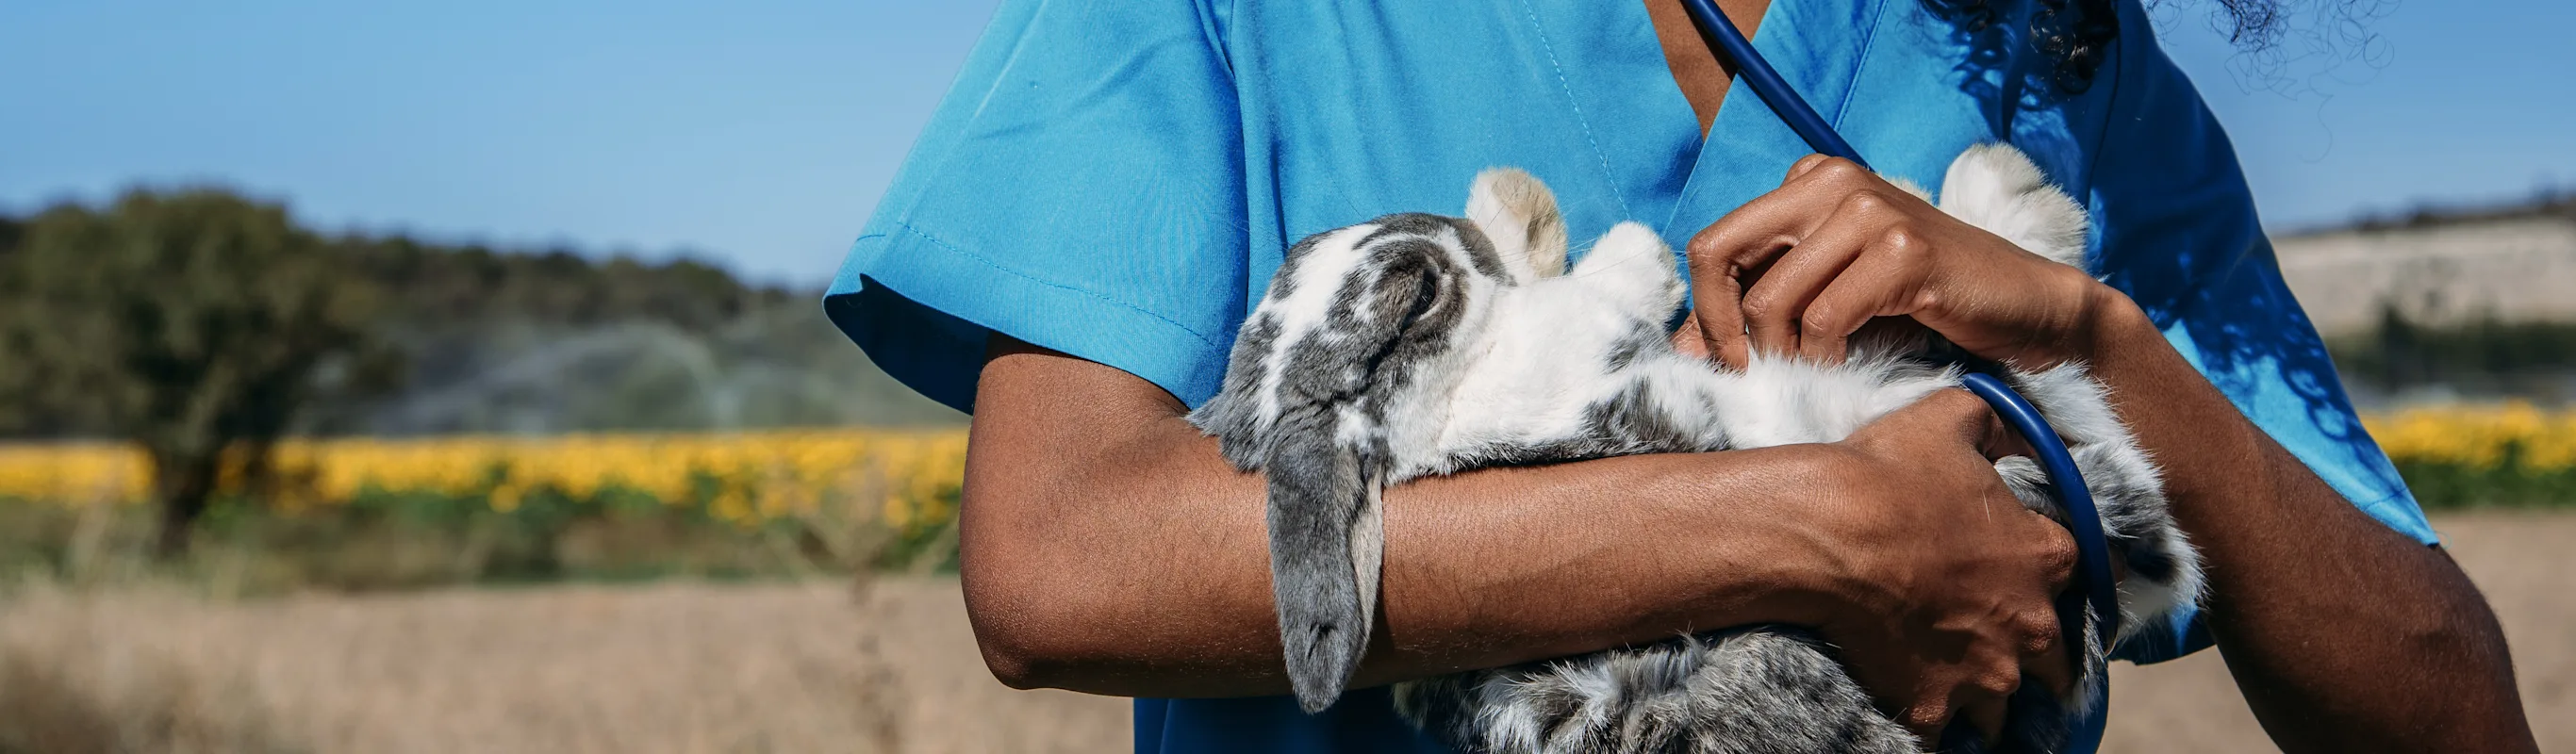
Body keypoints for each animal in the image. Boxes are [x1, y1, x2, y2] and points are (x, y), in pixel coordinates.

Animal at [1189, 143, 2201, 754]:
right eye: (1416, 293)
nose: (1458, 230)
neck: (1442, 416)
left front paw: (1514, 204)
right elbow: (1609, 279)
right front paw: (1551, 218)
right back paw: (2014, 186)